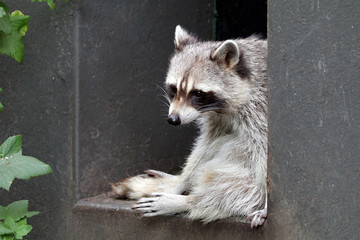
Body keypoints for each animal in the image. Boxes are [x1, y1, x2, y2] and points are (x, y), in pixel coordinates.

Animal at [111, 25, 268, 228]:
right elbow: (206, 145)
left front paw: (267, 205)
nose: (173, 120)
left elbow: (264, 157)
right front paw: (182, 181)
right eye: (174, 88)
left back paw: (189, 201)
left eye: (198, 93)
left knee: (235, 190)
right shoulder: (217, 117)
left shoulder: (260, 111)